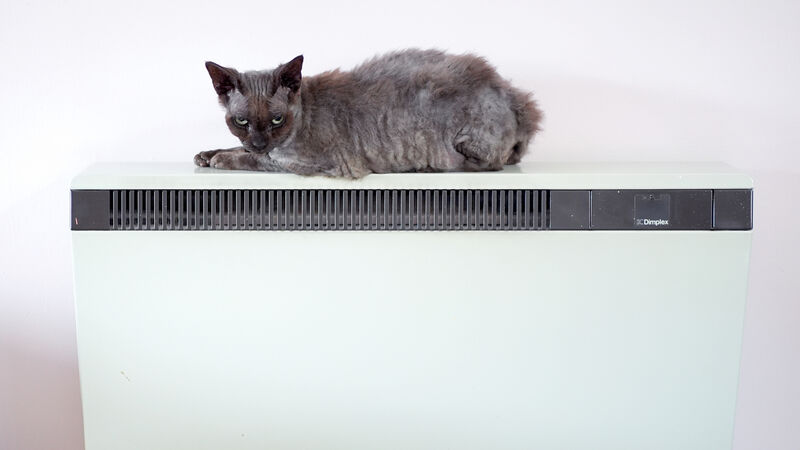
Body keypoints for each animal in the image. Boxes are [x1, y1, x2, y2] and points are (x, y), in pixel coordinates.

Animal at [195, 49, 542, 178]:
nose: (258, 141)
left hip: (463, 146)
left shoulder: (322, 164)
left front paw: (221, 159)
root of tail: (517, 99)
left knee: (491, 163)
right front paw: (206, 155)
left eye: (277, 120)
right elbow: (239, 149)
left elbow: (262, 161)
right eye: (241, 122)